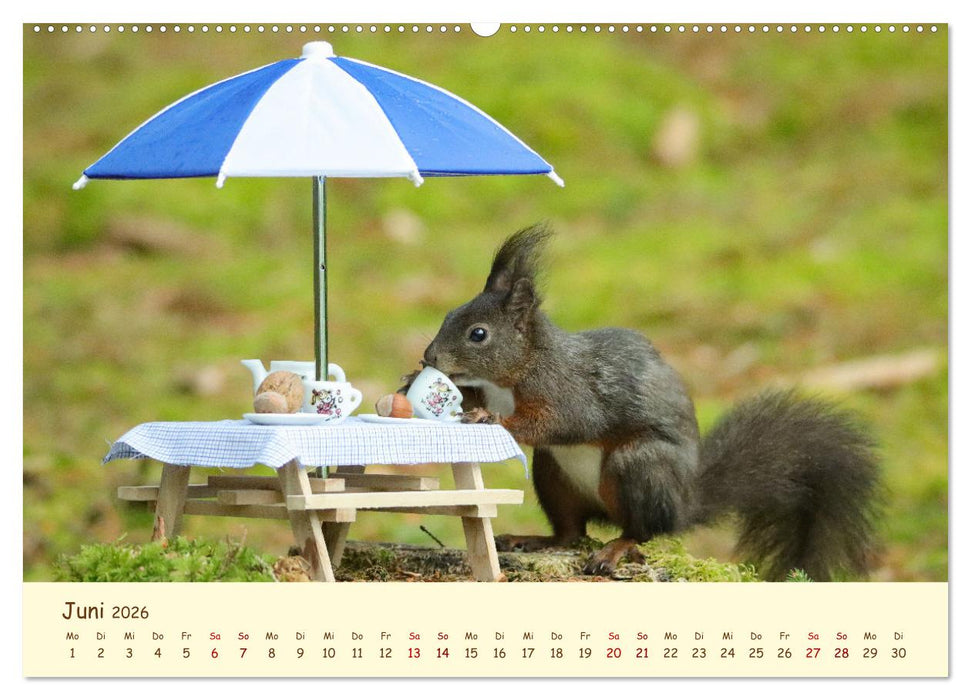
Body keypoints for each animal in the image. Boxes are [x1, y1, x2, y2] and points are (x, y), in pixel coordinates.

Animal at [411, 223, 882, 581]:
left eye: (479, 334)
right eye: (449, 315)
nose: (429, 358)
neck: (516, 371)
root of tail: (684, 504)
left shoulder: (569, 390)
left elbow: (562, 421)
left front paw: (490, 418)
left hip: (639, 466)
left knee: (643, 530)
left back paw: (616, 549)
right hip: (553, 474)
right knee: (570, 532)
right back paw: (536, 539)